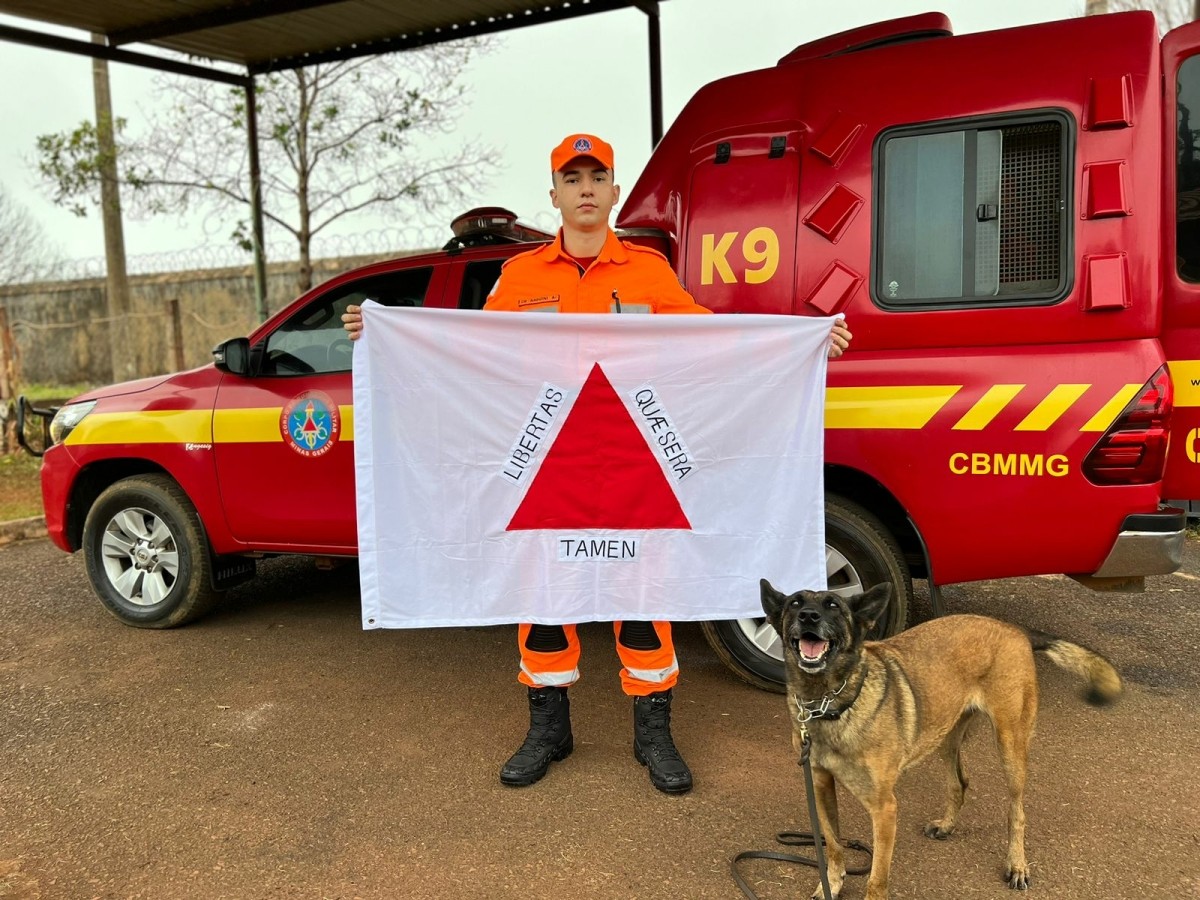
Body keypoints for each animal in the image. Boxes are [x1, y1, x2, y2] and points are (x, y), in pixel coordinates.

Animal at [763, 580, 1118, 897]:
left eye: (833, 605)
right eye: (795, 602)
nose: (809, 616)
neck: (829, 703)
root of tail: (1013, 628)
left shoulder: (884, 808)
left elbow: (877, 879)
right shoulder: (821, 786)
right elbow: (834, 846)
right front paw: (832, 885)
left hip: (1010, 746)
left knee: (1016, 812)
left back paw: (1017, 864)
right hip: (946, 738)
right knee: (959, 783)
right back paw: (947, 825)